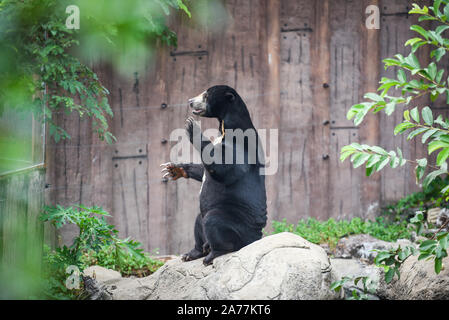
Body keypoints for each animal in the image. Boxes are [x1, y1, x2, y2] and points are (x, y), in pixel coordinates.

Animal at [160, 84, 266, 264]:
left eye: (205, 95)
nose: (190, 101)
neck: (225, 125)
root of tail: (254, 238)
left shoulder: (240, 144)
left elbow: (226, 169)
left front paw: (192, 127)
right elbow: (204, 168)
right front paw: (174, 169)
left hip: (235, 221)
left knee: (214, 221)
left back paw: (212, 254)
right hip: (205, 214)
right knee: (198, 222)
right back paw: (193, 252)